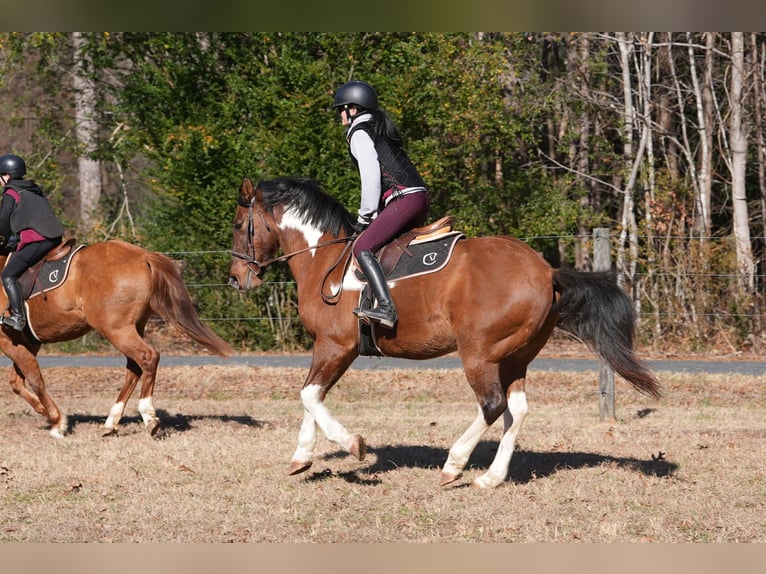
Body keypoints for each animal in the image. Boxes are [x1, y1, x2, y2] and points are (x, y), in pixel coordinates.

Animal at [0, 239, 233, 438]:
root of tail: (143, 255)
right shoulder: (27, 342)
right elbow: (17, 382)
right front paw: (46, 412)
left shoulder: (10, 342)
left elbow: (35, 381)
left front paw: (57, 422)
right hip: (132, 327)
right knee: (134, 367)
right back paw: (111, 422)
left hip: (116, 329)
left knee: (148, 357)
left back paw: (148, 416)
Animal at [228, 176, 661, 488]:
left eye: (237, 224)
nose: (236, 279)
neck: (325, 258)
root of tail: (545, 270)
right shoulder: (328, 347)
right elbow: (311, 395)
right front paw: (301, 458)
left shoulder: (337, 346)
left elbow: (309, 395)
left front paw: (352, 445)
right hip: (515, 356)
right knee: (517, 410)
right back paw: (491, 478)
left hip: (480, 353)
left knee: (492, 406)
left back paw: (454, 464)